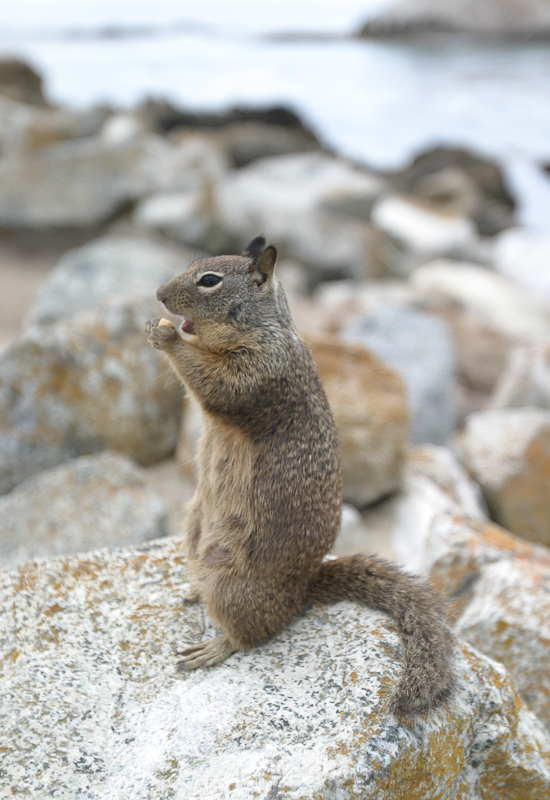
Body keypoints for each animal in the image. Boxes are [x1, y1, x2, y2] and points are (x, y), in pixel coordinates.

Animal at [146, 234, 458, 716]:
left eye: (210, 280)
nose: (160, 294)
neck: (263, 327)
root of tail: (303, 591)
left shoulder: (260, 371)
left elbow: (215, 385)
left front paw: (166, 335)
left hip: (232, 584)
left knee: (252, 635)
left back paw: (214, 645)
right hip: (193, 530)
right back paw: (194, 588)